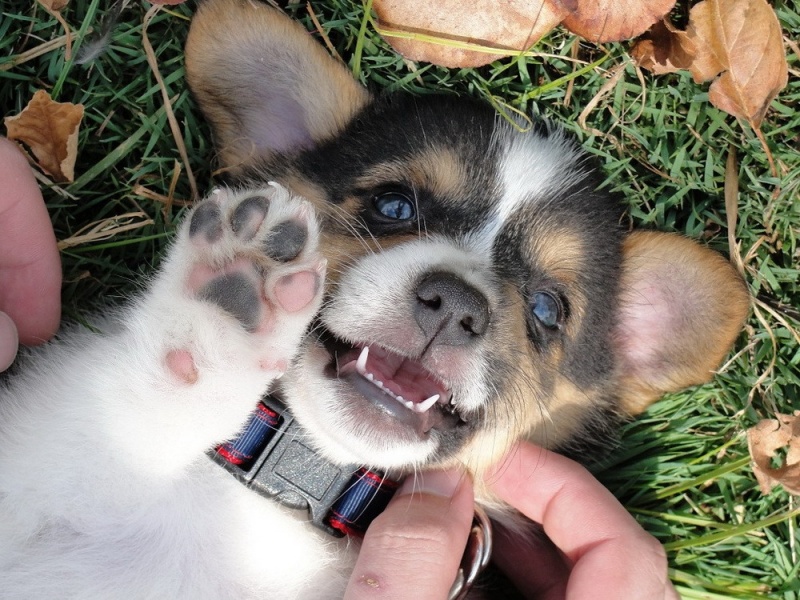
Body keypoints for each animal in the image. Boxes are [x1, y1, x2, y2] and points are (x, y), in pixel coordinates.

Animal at [0, 0, 750, 597]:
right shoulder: (36, 458)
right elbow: (133, 415)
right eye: (394, 204)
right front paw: (228, 307)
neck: (297, 492)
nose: (456, 303)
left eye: (546, 309)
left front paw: (231, 307)